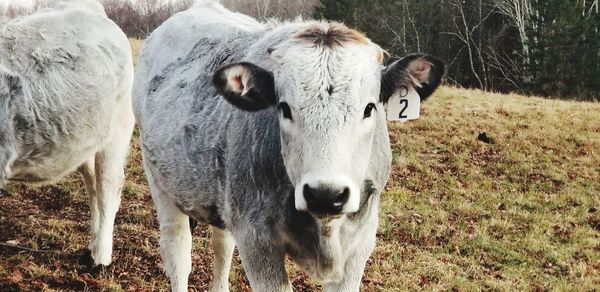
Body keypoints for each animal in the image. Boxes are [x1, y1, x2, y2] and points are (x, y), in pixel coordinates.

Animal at [0, 0, 134, 268]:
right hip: (85, 143)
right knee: (94, 189)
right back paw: (92, 245)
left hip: (116, 132)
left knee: (108, 191)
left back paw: (100, 258)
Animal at [135, 1, 446, 290]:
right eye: (284, 108)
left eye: (369, 108)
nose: (325, 194)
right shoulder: (256, 240)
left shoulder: (361, 240)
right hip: (161, 183)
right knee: (178, 249)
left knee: (222, 245)